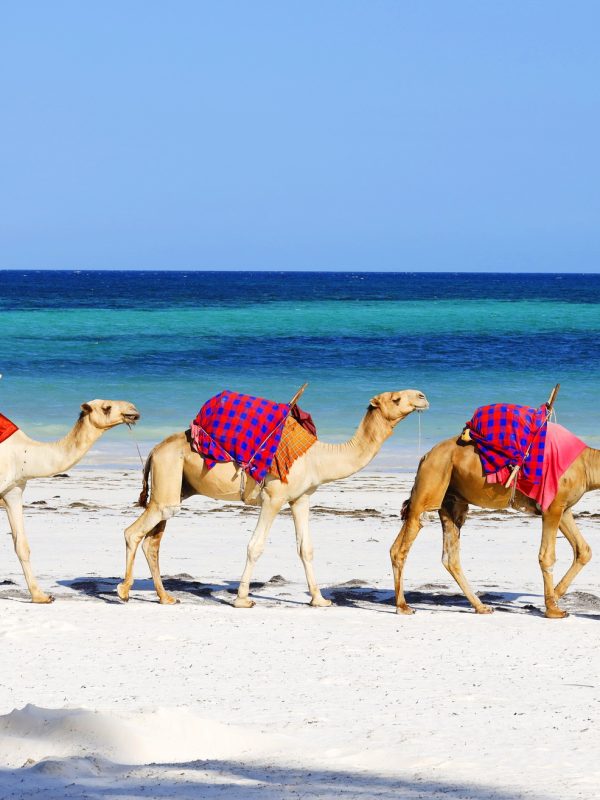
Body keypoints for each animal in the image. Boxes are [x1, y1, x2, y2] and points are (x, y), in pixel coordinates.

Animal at [0, 399, 140, 602]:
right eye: (106, 407)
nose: (133, 410)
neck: (24, 453)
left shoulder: (14, 492)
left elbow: (22, 546)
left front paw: (41, 596)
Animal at [117, 389, 429, 607]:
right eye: (397, 398)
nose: (422, 397)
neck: (318, 458)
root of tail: (155, 450)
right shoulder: (273, 497)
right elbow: (255, 546)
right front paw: (242, 599)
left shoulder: (301, 498)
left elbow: (306, 548)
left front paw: (320, 599)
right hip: (168, 477)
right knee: (134, 532)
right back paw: (123, 591)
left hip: (175, 486)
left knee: (153, 541)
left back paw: (165, 597)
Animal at [390, 434, 596, 618]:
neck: (587, 464)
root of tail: (425, 456)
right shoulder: (552, 507)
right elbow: (547, 556)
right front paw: (553, 609)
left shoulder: (564, 508)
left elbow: (584, 550)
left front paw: (555, 595)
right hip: (430, 485)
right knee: (404, 543)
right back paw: (403, 607)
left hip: (451, 500)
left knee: (449, 556)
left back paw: (481, 607)